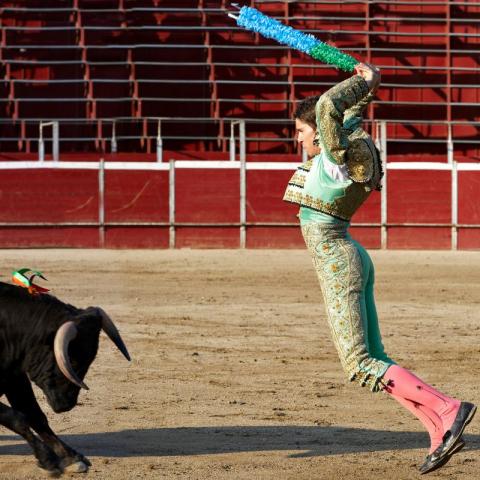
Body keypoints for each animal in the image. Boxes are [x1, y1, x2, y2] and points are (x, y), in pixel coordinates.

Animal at [0, 284, 130, 474]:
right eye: (72, 360)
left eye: (90, 360)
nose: (67, 405)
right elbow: (17, 417)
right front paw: (48, 459)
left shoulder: (15, 378)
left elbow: (35, 415)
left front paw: (72, 458)